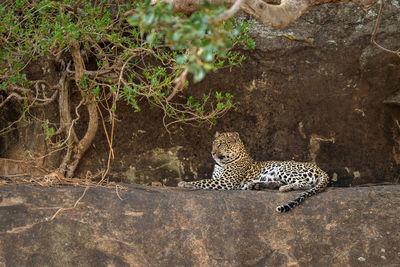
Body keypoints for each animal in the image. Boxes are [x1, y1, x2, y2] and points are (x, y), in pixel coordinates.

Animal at [178, 132, 328, 214]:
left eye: (221, 144)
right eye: (213, 144)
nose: (212, 153)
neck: (221, 163)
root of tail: (320, 169)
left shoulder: (226, 182)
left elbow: (202, 181)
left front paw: (184, 183)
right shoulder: (219, 179)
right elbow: (205, 180)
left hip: (284, 168)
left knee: (305, 184)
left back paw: (285, 188)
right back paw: (255, 185)